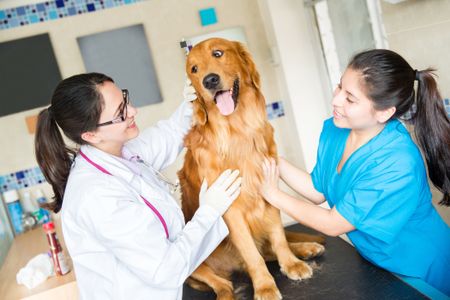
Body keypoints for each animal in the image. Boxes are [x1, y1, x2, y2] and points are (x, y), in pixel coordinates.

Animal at [178, 38, 326, 298]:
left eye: (218, 53)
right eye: (193, 69)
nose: (209, 80)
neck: (238, 131)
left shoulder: (268, 189)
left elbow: (278, 236)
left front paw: (291, 264)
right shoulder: (232, 210)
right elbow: (251, 254)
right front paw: (265, 286)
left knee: (268, 249)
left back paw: (306, 248)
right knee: (225, 282)